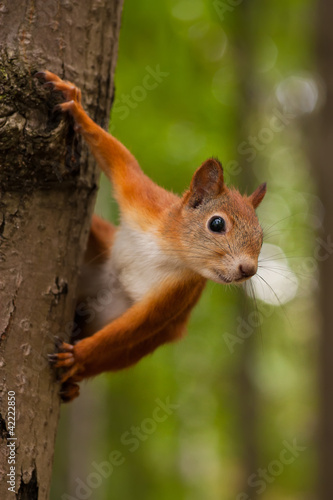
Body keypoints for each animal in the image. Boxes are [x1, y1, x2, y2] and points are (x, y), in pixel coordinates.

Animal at [36, 70, 266, 400]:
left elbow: (133, 329)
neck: (166, 247)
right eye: (217, 224)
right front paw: (75, 105)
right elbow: (120, 160)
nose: (248, 269)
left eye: (262, 236)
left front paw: (78, 357)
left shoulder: (175, 296)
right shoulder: (144, 199)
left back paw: (74, 381)